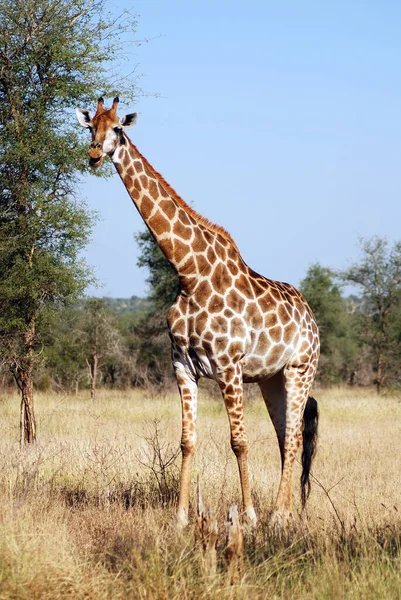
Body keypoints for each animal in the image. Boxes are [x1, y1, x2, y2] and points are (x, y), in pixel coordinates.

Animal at [75, 96, 318, 528]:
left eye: (118, 128)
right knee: (284, 438)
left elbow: (239, 442)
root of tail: (311, 317)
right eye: (90, 127)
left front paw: (249, 517)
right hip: (271, 379)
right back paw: (284, 512)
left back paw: (278, 516)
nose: (94, 153)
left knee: (292, 438)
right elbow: (187, 441)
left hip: (300, 370)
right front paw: (181, 517)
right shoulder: (182, 365)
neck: (189, 273)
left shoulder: (228, 366)